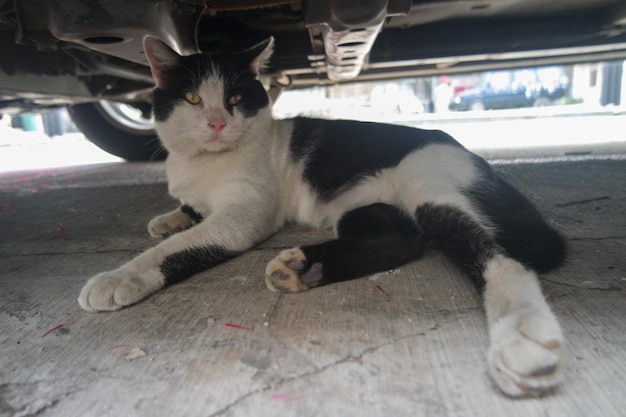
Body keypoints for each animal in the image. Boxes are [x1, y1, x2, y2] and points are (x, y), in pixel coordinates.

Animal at [77, 36, 564, 396]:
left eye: (235, 97)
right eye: (193, 97)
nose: (216, 122)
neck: (203, 163)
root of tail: (467, 151)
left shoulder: (245, 214)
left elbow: (179, 246)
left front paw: (121, 276)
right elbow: (185, 212)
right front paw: (170, 217)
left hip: (429, 186)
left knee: (498, 255)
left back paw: (522, 335)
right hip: (364, 208)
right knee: (400, 241)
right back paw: (302, 268)